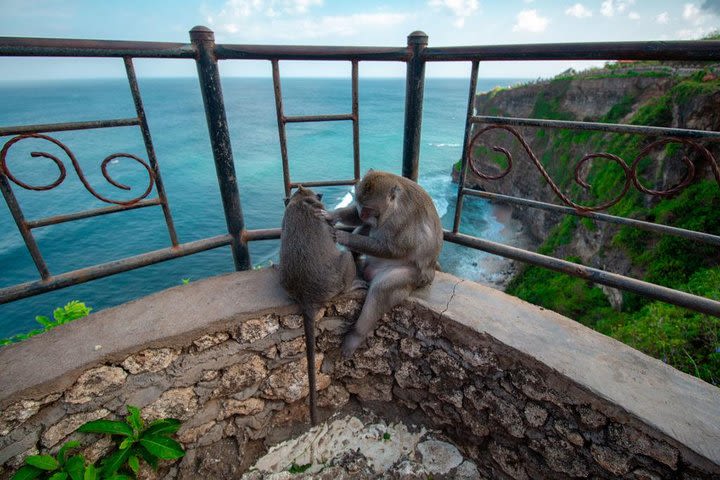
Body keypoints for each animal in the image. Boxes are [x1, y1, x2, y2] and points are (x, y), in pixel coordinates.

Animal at [324, 172, 442, 356]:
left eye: (369, 209)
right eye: (360, 205)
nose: (364, 215)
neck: (392, 208)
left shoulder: (402, 220)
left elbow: (392, 249)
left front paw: (343, 236)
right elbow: (358, 219)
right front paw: (331, 215)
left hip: (415, 277)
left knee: (382, 290)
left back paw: (355, 336)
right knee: (366, 228)